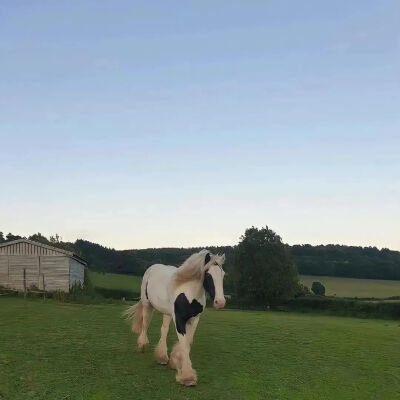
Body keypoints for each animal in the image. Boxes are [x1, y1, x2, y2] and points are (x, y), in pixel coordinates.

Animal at [123, 250, 227, 384]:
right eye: (208, 275)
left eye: (222, 274)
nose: (220, 302)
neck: (189, 293)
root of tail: (152, 268)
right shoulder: (179, 319)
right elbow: (184, 344)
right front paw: (188, 377)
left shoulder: (194, 319)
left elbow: (188, 342)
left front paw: (175, 360)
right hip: (147, 304)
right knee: (145, 324)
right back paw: (142, 346)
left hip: (167, 313)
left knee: (164, 330)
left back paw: (162, 357)